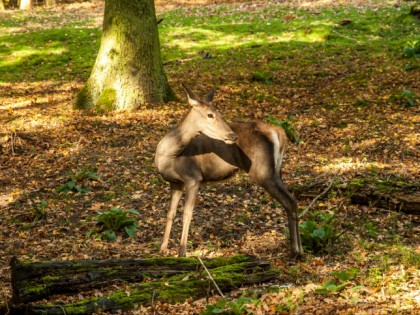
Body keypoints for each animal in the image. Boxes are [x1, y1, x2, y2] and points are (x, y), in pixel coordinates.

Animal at [154, 84, 302, 260]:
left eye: (220, 113)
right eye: (210, 114)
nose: (232, 135)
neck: (169, 156)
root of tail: (279, 132)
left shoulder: (193, 177)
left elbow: (187, 214)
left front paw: (182, 253)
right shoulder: (175, 183)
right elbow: (170, 213)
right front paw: (162, 250)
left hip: (263, 170)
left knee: (288, 201)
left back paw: (295, 251)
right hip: (276, 171)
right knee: (293, 200)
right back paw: (299, 249)